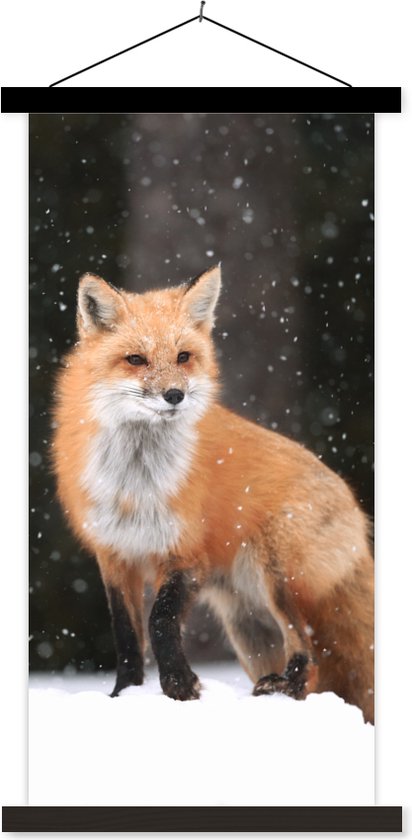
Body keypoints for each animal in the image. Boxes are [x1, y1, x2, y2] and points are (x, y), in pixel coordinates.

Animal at [52, 264, 374, 723]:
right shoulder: (115, 555)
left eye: (183, 357)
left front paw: (179, 686)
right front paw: (124, 694)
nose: (174, 395)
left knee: (308, 651)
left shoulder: (186, 555)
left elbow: (160, 621)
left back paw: (283, 685)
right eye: (136, 359)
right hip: (250, 627)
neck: (136, 485)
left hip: (279, 579)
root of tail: (358, 513)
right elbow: (127, 635)